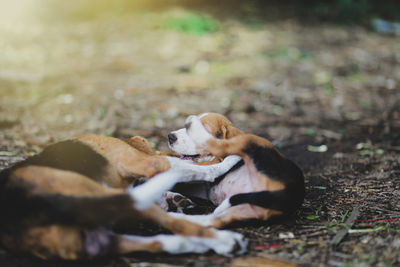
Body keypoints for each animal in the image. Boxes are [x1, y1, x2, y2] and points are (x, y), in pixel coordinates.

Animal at [0, 135, 245, 260]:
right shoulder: (152, 162)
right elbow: (200, 168)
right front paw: (229, 159)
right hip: (98, 193)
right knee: (179, 223)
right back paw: (225, 240)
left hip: (99, 236)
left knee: (160, 239)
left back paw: (195, 242)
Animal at [167, 113, 304, 228]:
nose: (170, 136)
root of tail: (293, 190)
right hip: (246, 208)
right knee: (211, 221)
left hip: (253, 140)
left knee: (220, 145)